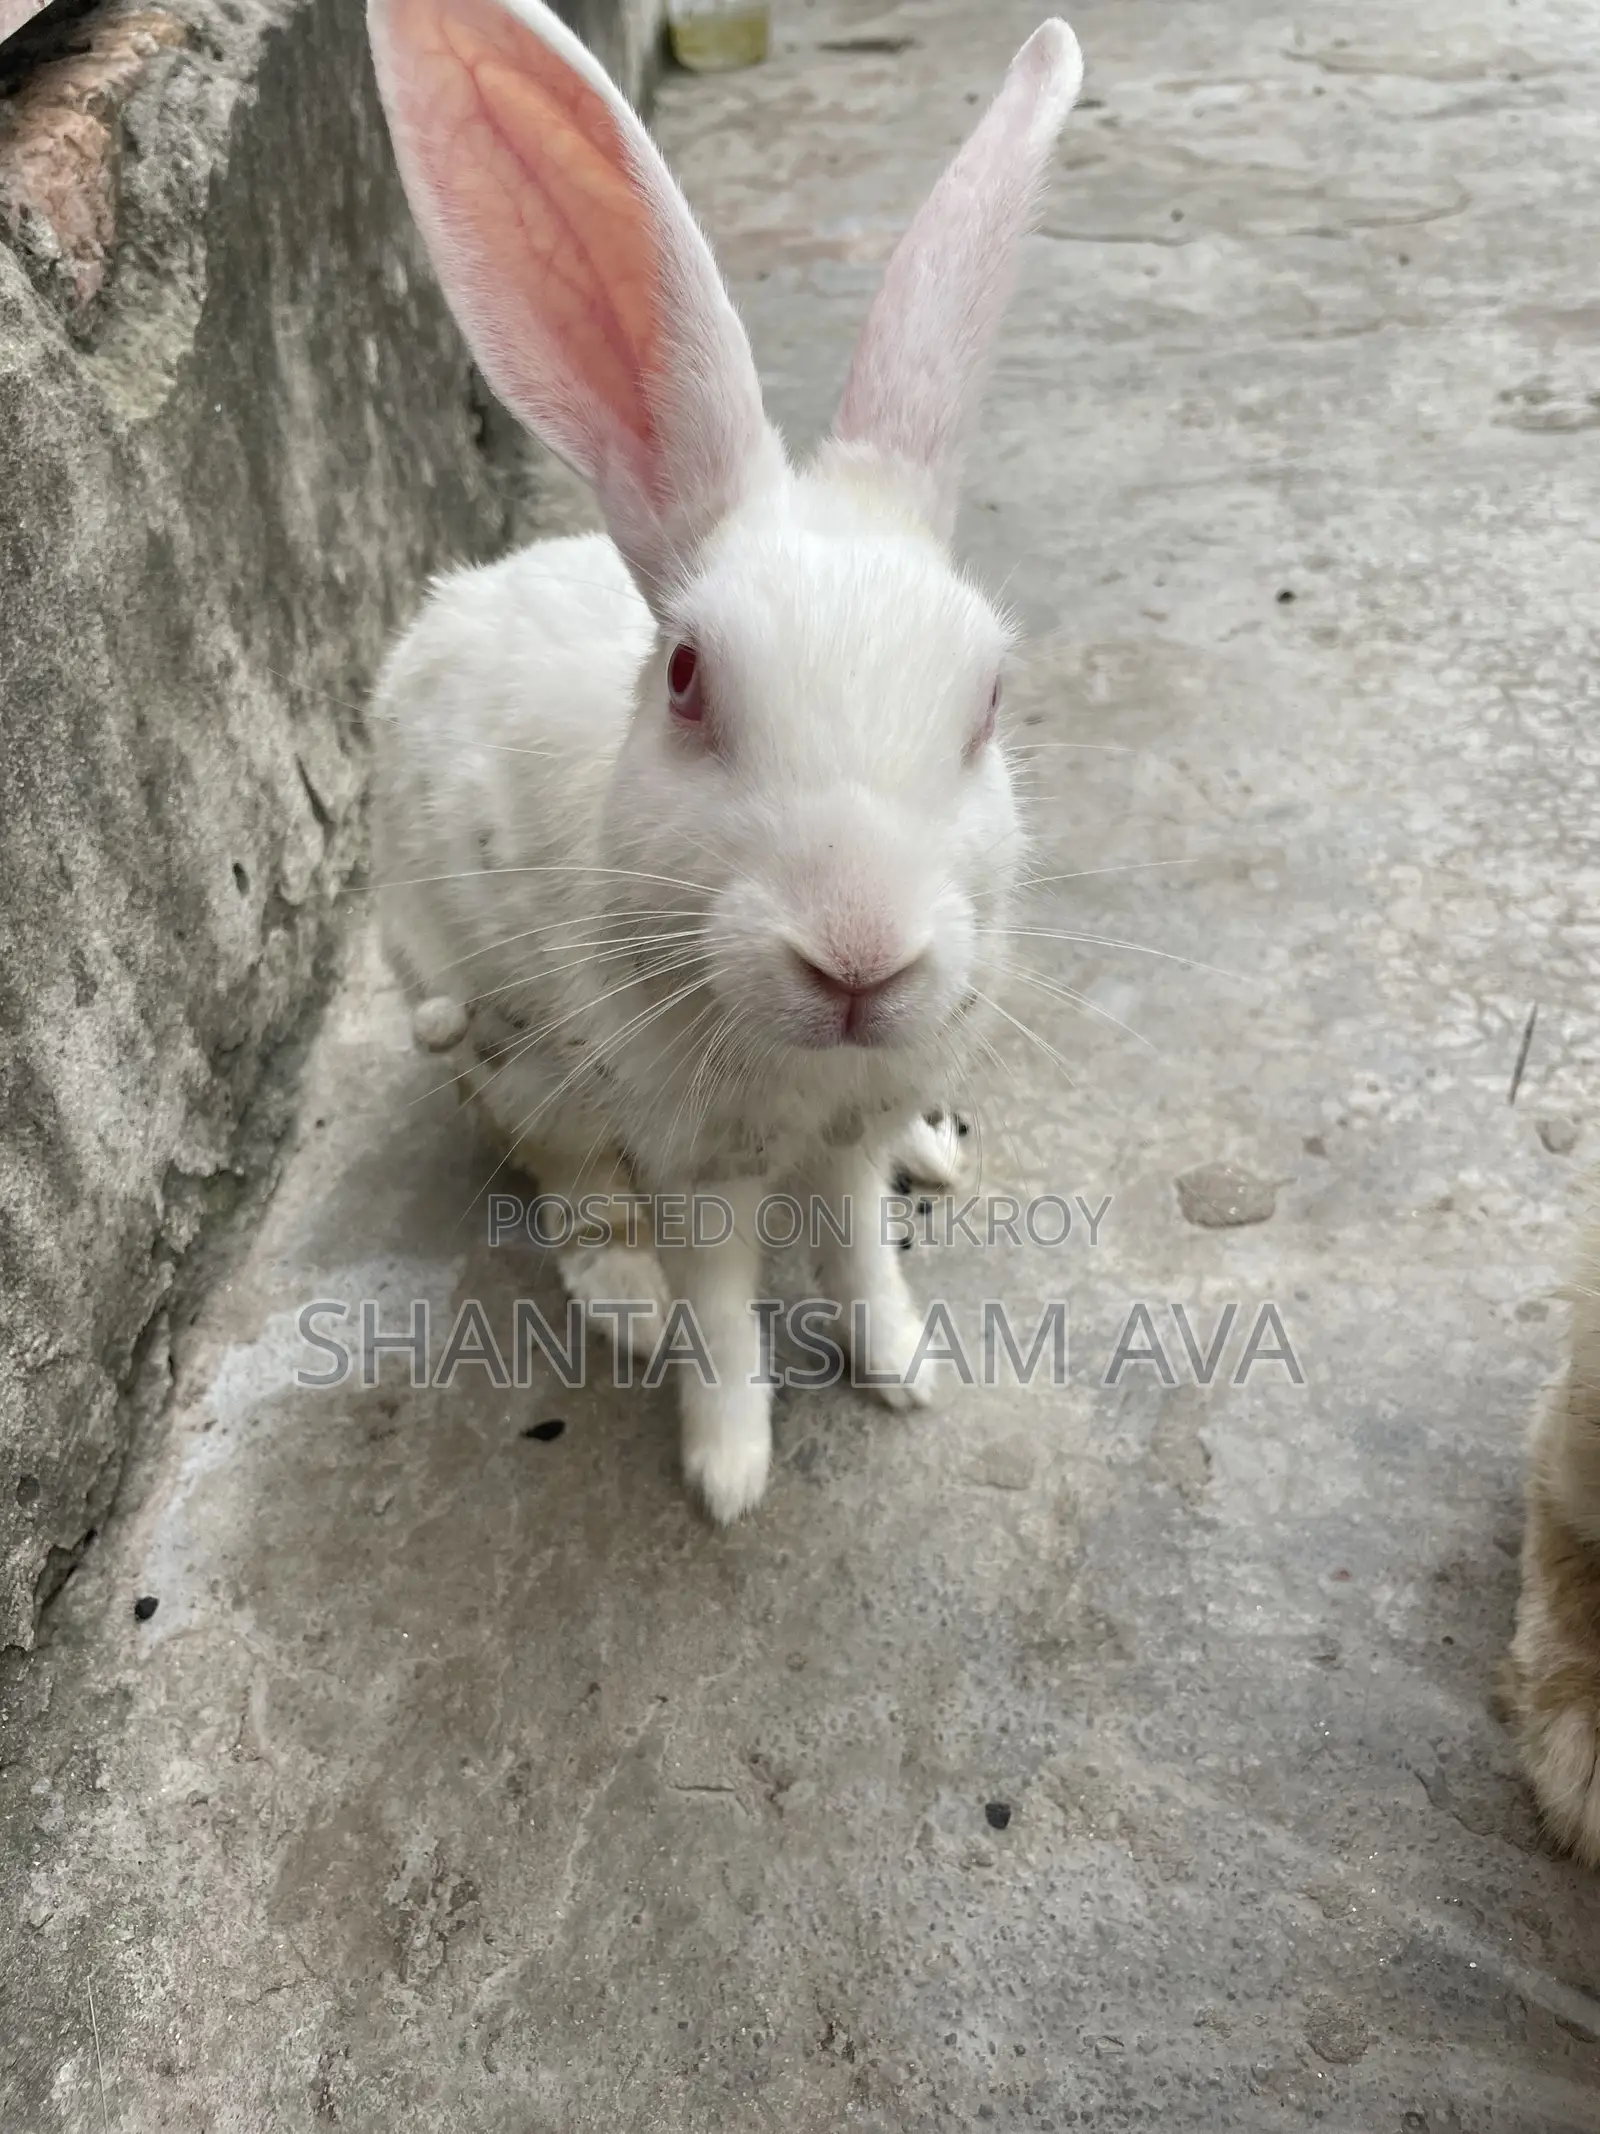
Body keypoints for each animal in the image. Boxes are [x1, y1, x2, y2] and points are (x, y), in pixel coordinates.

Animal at [366, 0, 1084, 1520]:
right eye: (689, 678)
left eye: (988, 695)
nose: (859, 958)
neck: (808, 1075)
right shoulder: (689, 1156)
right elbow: (719, 1301)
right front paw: (729, 1468)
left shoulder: (850, 1133)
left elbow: (862, 1244)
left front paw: (901, 1369)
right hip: (506, 1055)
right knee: (565, 1184)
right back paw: (624, 1299)